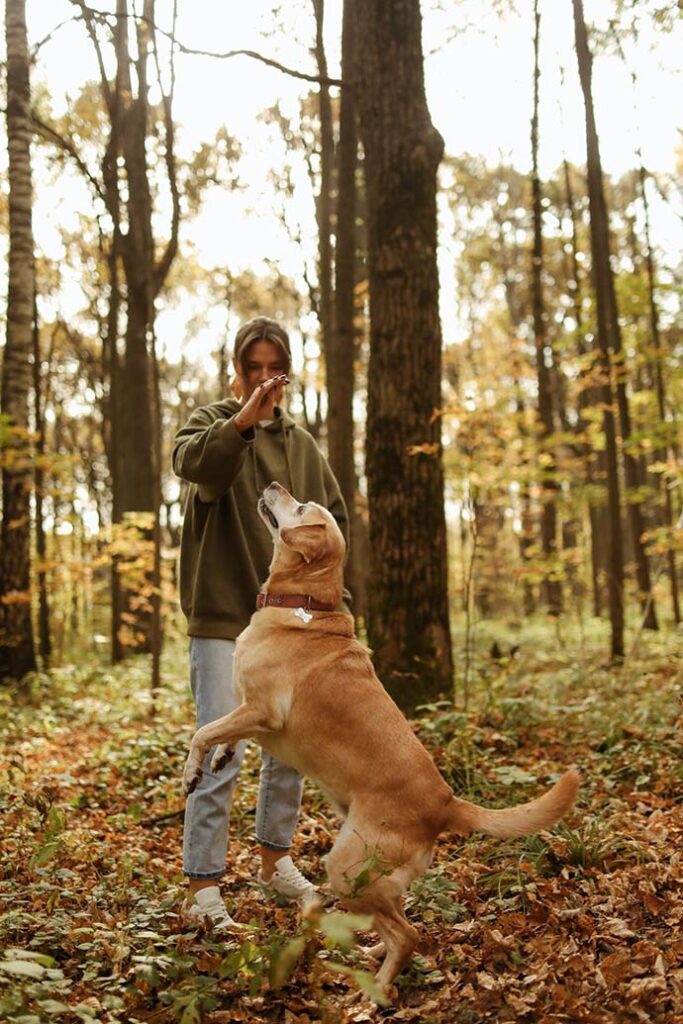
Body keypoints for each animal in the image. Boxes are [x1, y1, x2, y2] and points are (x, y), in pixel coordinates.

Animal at [184, 483, 581, 995]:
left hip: (346, 866)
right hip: (371, 878)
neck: (303, 605)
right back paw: (373, 956)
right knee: (399, 921)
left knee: (407, 933)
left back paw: (374, 993)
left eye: (301, 507)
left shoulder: (262, 711)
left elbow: (202, 731)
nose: (272, 485)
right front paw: (220, 757)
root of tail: (446, 802)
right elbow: (225, 734)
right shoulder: (248, 712)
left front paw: (193, 770)